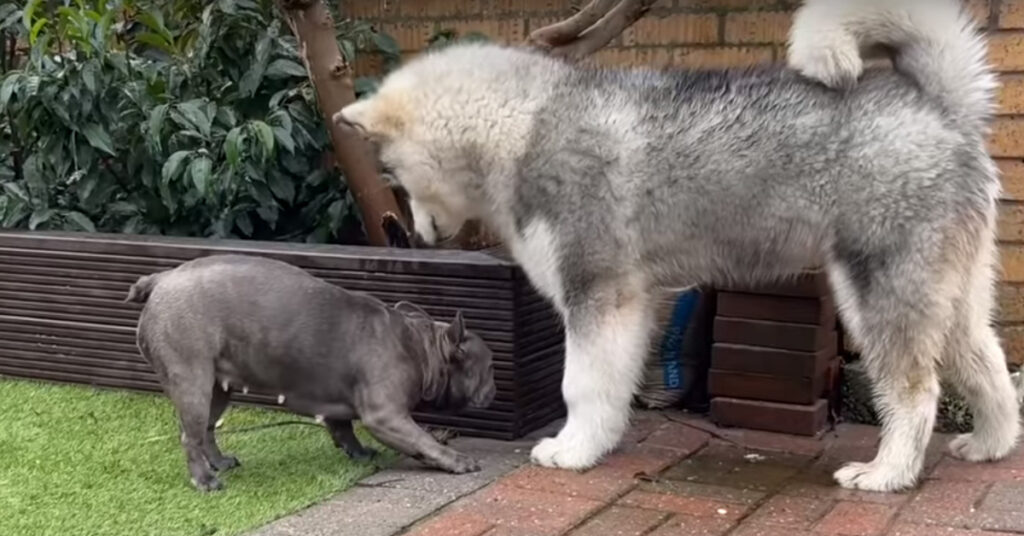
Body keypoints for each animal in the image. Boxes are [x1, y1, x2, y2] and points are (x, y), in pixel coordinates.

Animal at [124, 254, 499, 493]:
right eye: (491, 366)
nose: (495, 388)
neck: (421, 347)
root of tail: (161, 279)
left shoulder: (339, 405)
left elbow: (344, 429)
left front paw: (358, 453)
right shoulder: (387, 416)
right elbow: (423, 440)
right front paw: (455, 460)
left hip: (217, 388)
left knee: (206, 429)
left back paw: (219, 462)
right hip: (193, 383)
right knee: (190, 436)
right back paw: (205, 480)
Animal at [335, 0, 1015, 489]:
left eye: (392, 171)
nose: (418, 235)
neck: (522, 125)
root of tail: (938, 106)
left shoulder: (596, 295)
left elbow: (579, 385)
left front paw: (570, 451)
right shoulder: (631, 303)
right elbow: (608, 388)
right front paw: (595, 444)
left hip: (880, 292)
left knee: (917, 391)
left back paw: (886, 475)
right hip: (953, 295)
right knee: (986, 364)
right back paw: (991, 445)